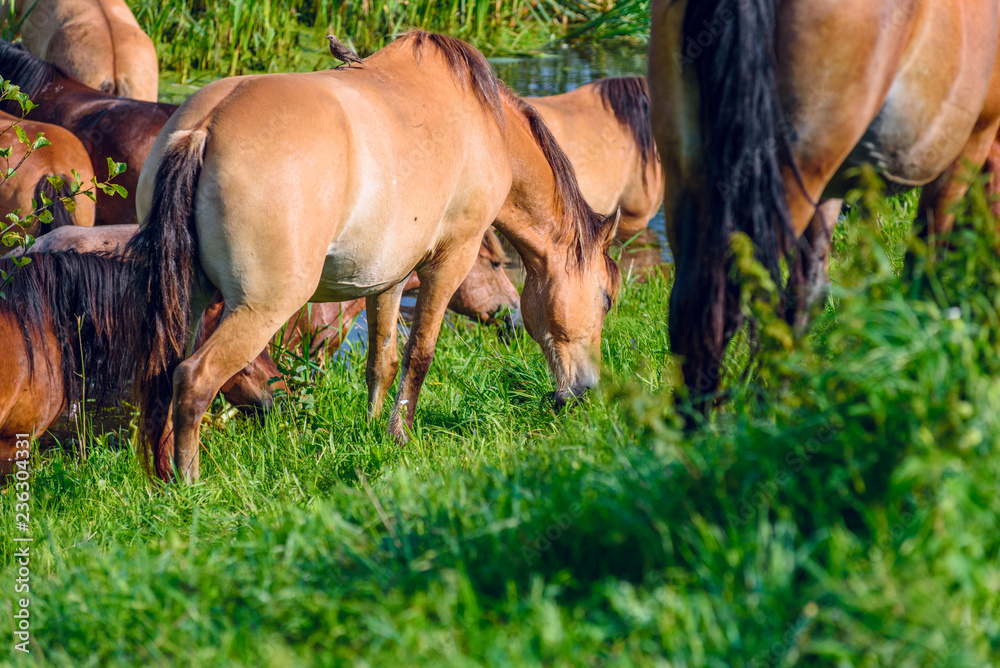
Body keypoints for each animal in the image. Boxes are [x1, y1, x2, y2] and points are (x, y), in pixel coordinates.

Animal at [126, 31, 620, 482]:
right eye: (607, 298)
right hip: (260, 307)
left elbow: (382, 361)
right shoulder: (449, 261)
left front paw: (375, 432)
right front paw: (401, 434)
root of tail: (205, 126)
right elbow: (420, 353)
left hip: (189, 302)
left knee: (163, 377)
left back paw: (163, 476)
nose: (585, 392)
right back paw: (188, 484)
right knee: (194, 380)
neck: (485, 126)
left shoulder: (388, 277)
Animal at [648, 0, 1000, 401]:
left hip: (691, 176)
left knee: (690, 312)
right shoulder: (972, 140)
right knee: (720, 312)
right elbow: (926, 265)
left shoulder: (828, 191)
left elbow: (807, 293)